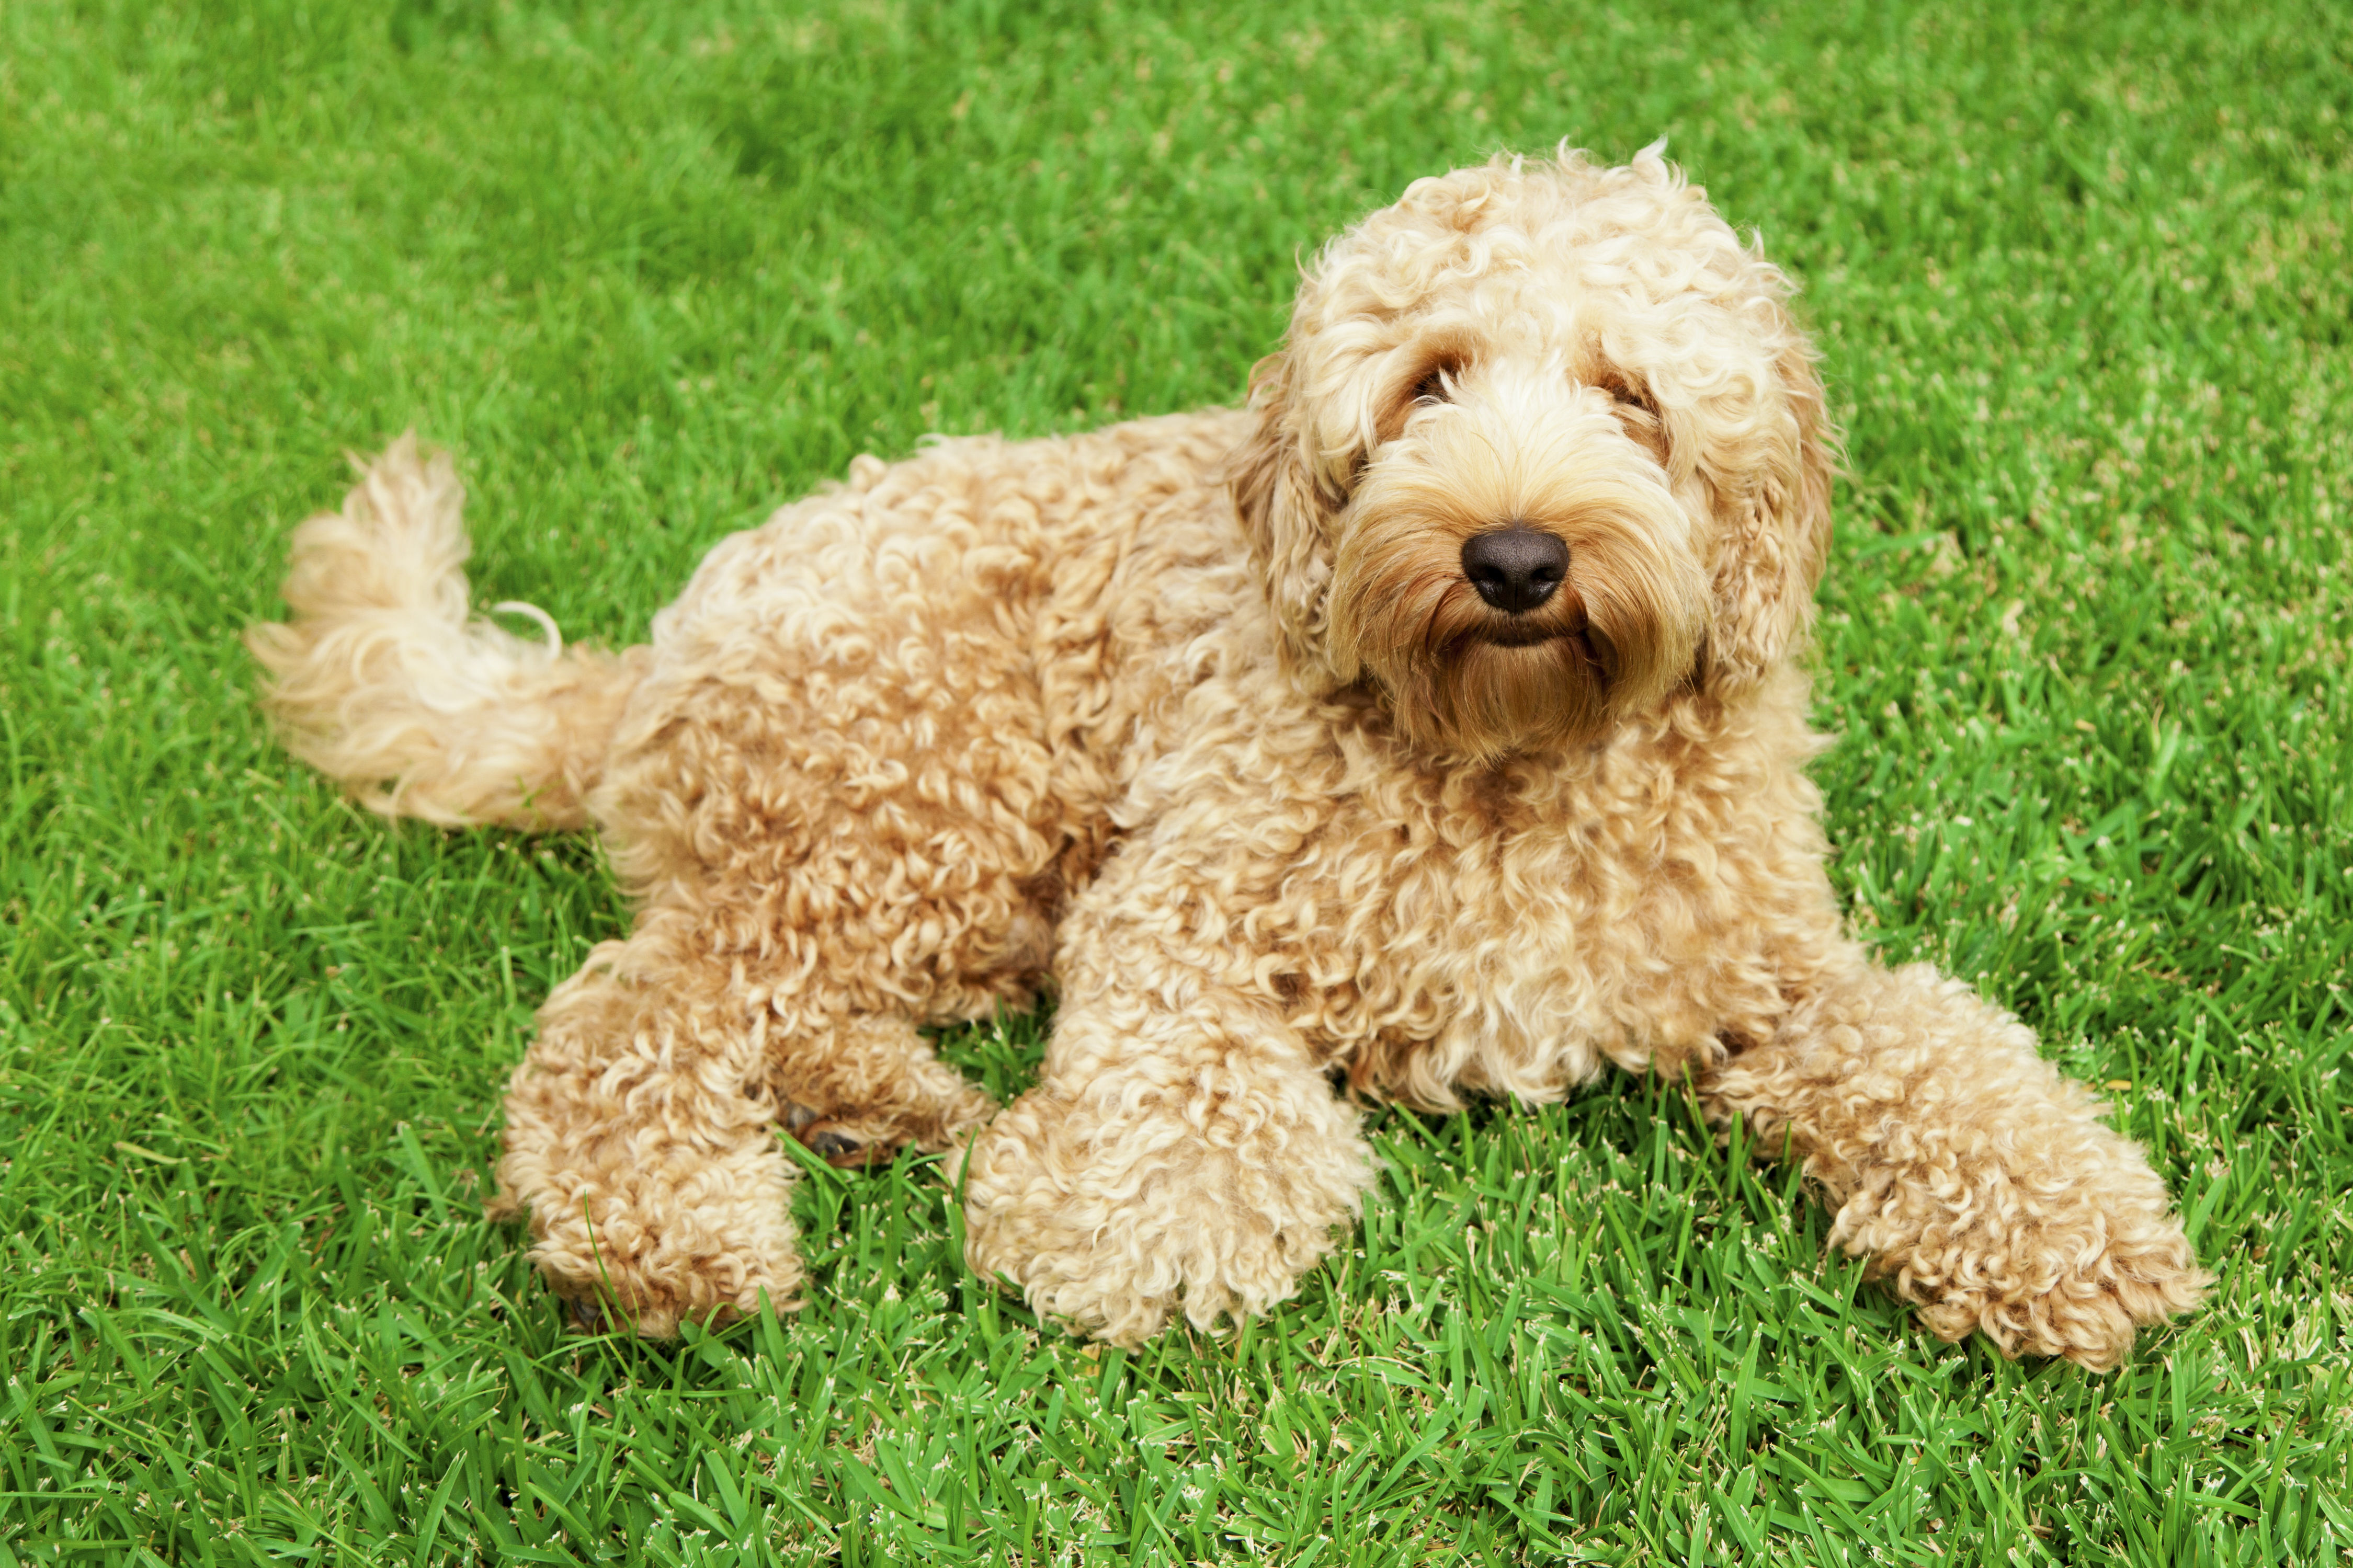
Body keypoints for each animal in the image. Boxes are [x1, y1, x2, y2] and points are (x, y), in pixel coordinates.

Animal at [253, 150, 2202, 1372]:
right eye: (1425, 381)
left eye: (1632, 396)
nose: (1511, 555)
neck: (1503, 757)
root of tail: (656, 645)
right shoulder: (1178, 905)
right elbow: (1180, 1082)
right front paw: (1141, 1229)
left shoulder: (1764, 972)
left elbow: (1936, 1055)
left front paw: (2068, 1232)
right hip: (920, 798)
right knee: (631, 1012)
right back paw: (673, 1247)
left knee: (750, 998)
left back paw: (880, 1106)